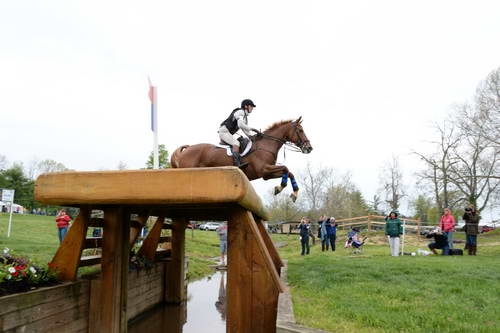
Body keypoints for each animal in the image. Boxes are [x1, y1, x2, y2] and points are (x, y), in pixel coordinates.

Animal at [172, 116, 312, 200]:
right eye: (300, 130)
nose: (309, 148)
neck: (266, 145)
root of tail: (187, 149)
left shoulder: (266, 175)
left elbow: (289, 172)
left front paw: (293, 193)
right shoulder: (264, 170)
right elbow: (286, 168)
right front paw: (280, 187)